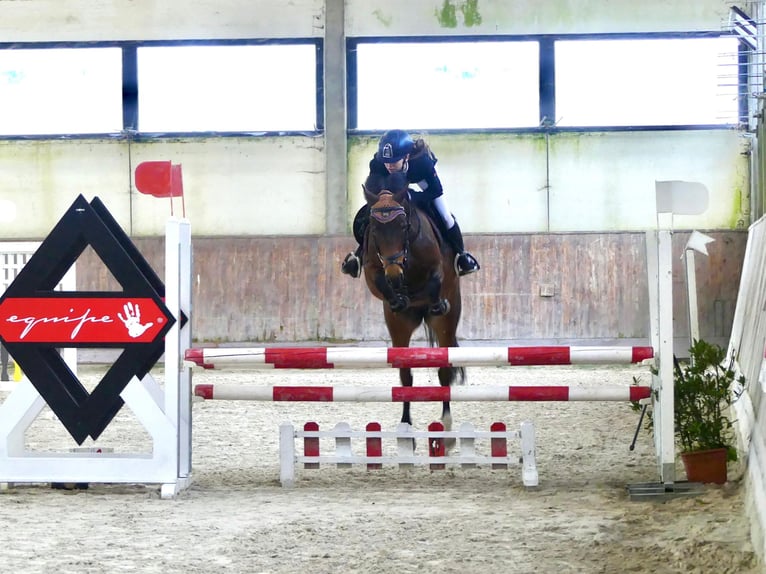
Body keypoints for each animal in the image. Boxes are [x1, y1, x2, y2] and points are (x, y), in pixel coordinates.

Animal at [362, 172, 468, 440]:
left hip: (446, 323)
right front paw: (398, 297)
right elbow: (379, 281)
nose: (394, 273)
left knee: (443, 371)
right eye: (375, 228)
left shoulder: (437, 268)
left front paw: (435, 301)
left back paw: (446, 426)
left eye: (403, 226)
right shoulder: (372, 269)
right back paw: (405, 426)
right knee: (405, 375)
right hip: (398, 326)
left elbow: (434, 281)